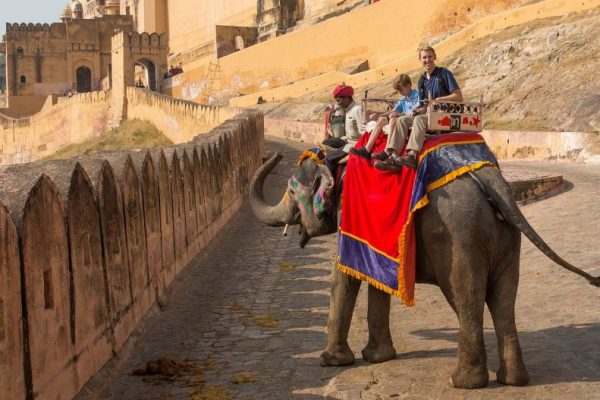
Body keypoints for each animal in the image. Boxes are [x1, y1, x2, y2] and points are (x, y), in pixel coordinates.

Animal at [250, 150, 600, 388]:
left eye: (291, 191)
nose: (274, 154)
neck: (339, 160)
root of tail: (493, 183)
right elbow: (375, 279)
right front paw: (378, 357)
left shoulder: (348, 216)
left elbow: (345, 276)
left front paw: (331, 361)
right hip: (506, 238)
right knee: (503, 300)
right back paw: (511, 379)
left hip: (460, 237)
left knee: (466, 297)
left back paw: (464, 382)